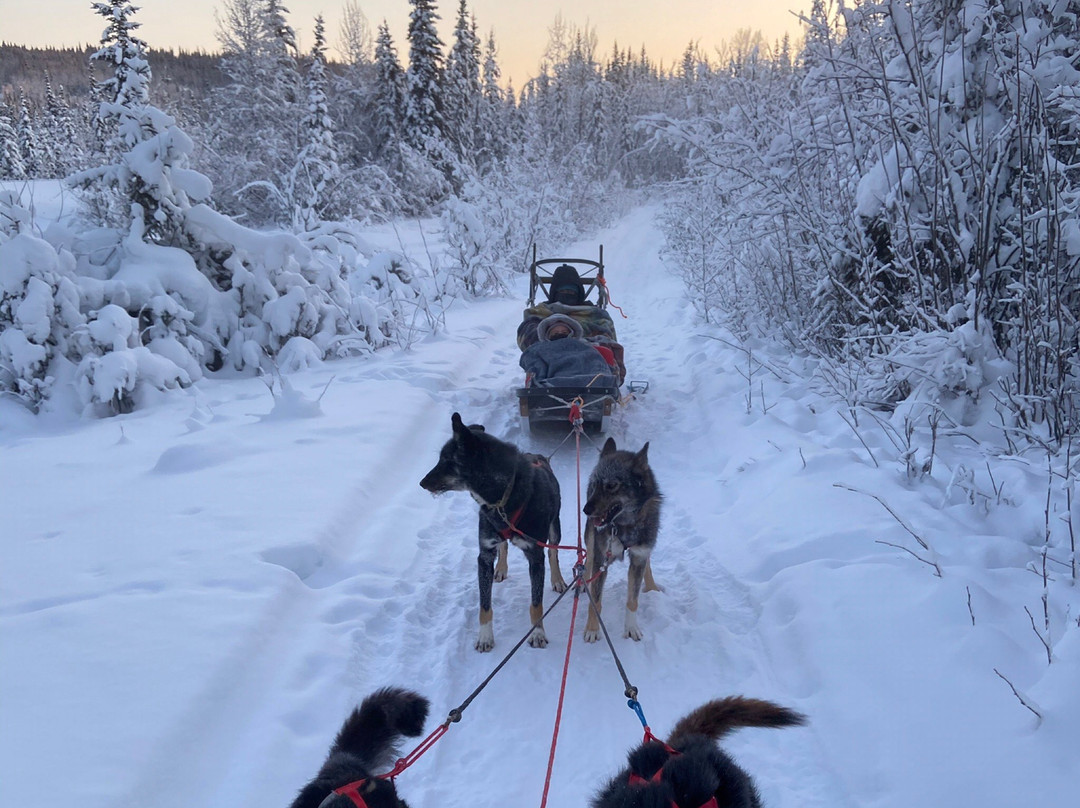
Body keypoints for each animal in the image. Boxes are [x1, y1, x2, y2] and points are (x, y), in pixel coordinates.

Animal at [419, 412, 570, 652]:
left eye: (447, 461)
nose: (422, 482)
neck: (502, 498)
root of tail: (537, 455)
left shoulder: (535, 556)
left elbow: (536, 603)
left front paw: (537, 632)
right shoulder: (484, 555)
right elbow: (485, 605)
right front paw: (485, 637)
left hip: (555, 527)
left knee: (553, 552)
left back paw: (557, 579)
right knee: (504, 545)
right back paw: (501, 568)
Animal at [587, 438, 660, 639]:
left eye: (611, 485)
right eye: (595, 484)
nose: (585, 509)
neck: (624, 525)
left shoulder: (639, 556)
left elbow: (633, 600)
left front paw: (631, 627)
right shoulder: (600, 558)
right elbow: (595, 600)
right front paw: (592, 629)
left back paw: (652, 587)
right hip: (591, 542)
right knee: (586, 563)